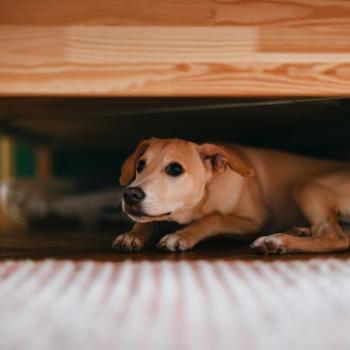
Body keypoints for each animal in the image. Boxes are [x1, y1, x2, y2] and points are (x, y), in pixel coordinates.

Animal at [111, 138, 350, 256]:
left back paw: (276, 241)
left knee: (335, 238)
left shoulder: (256, 221)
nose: (130, 194)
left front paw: (181, 235)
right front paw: (132, 234)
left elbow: (215, 217)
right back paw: (298, 230)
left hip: (306, 184)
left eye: (175, 169)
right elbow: (149, 220)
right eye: (140, 165)